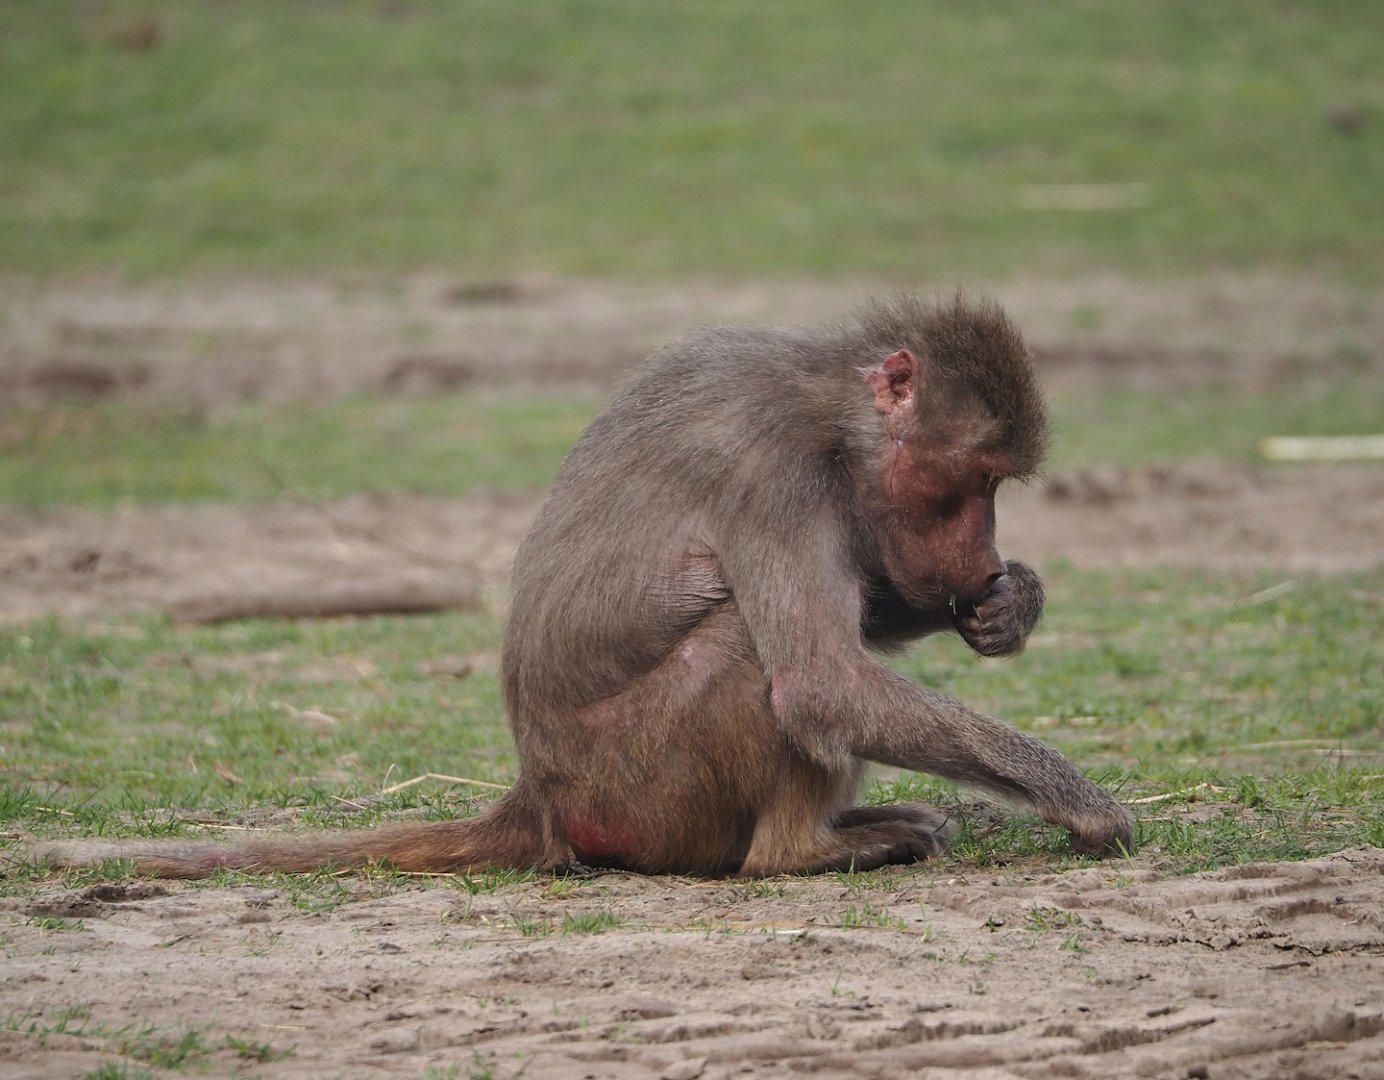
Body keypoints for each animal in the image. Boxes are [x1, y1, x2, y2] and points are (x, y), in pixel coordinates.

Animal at [31, 294, 1132, 879]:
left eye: (997, 489)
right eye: (969, 484)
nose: (980, 560)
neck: (836, 414)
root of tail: (544, 796)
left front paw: (1010, 605)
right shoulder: (772, 472)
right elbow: (821, 680)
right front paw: (1077, 800)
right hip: (643, 788)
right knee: (747, 655)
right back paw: (805, 849)